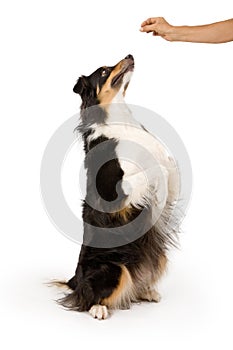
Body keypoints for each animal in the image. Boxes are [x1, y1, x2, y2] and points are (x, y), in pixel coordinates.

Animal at [57, 54, 180, 320]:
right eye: (103, 71)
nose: (130, 55)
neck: (119, 120)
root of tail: (75, 279)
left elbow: (168, 164)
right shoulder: (117, 191)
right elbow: (154, 169)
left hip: (157, 256)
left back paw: (146, 291)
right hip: (113, 268)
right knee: (87, 296)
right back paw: (98, 308)